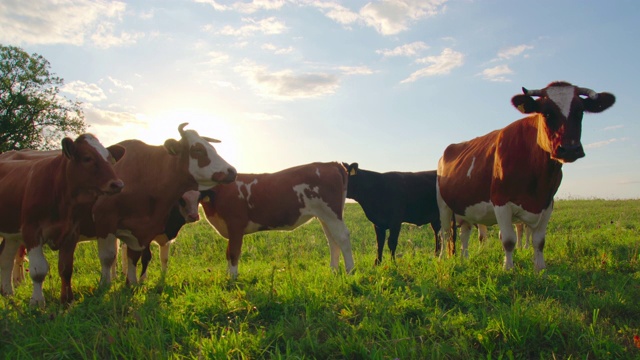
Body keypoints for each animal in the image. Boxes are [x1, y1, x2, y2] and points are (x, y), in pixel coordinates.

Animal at [0, 136, 125, 306]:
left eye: (110, 159)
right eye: (87, 158)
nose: (117, 184)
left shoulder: (72, 232)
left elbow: (66, 268)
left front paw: (67, 300)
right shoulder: (32, 231)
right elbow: (38, 270)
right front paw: (37, 302)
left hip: (12, 234)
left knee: (6, 259)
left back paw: (8, 295)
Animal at [91, 124, 236, 286]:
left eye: (198, 199)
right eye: (197, 150)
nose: (232, 171)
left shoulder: (144, 233)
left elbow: (148, 257)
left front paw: (137, 281)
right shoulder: (106, 221)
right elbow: (113, 257)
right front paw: (109, 284)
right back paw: (115, 275)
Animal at [199, 162, 352, 278]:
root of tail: (329, 164)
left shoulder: (235, 224)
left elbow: (233, 252)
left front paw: (232, 278)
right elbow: (228, 252)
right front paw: (228, 276)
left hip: (331, 214)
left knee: (342, 237)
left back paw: (350, 270)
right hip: (325, 217)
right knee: (332, 240)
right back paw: (333, 270)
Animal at [436, 81, 616, 272]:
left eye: (580, 111)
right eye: (547, 113)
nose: (569, 149)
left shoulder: (547, 203)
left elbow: (539, 241)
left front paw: (540, 268)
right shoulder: (501, 201)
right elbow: (508, 240)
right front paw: (508, 268)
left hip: (464, 208)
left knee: (465, 232)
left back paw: (465, 258)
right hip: (444, 205)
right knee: (445, 232)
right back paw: (442, 259)